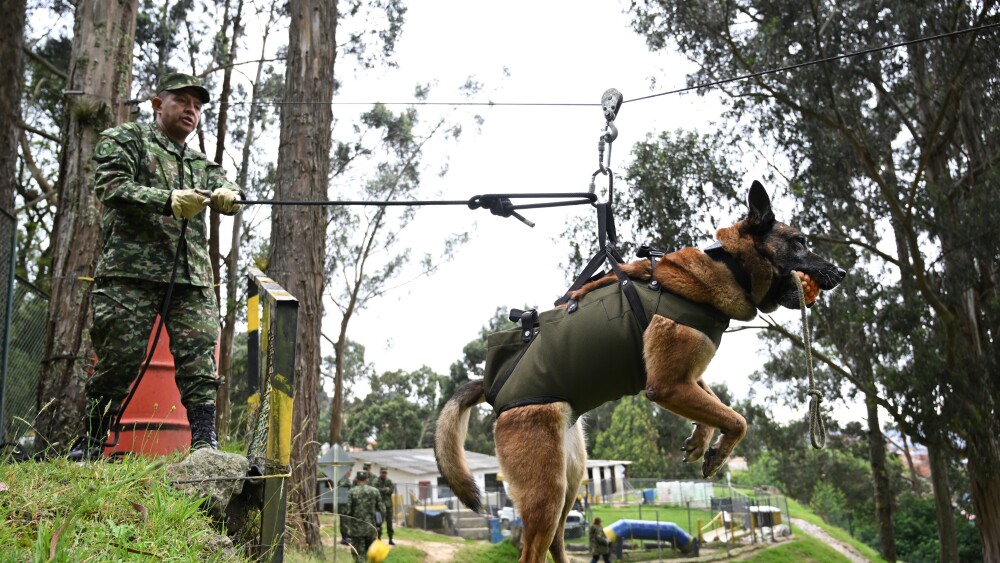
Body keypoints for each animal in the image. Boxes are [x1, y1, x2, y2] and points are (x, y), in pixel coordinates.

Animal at [436, 182, 844, 563]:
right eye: (800, 242)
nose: (840, 271)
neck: (729, 268)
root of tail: (492, 388)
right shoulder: (667, 385)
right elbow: (738, 419)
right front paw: (719, 452)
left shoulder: (686, 376)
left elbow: (718, 404)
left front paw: (702, 440)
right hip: (546, 491)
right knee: (533, 550)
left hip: (571, 480)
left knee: (556, 541)